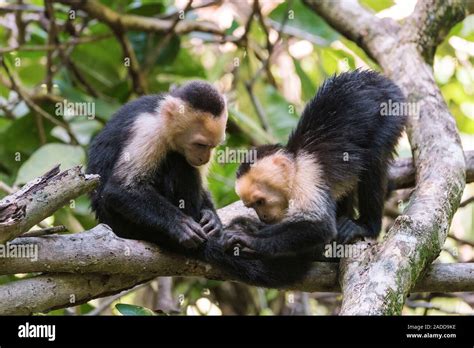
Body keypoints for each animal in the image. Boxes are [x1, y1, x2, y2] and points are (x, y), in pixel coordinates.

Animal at [88, 80, 312, 286]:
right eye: (200, 144)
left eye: (213, 146)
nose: (205, 158)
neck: (161, 117)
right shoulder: (148, 129)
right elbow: (120, 189)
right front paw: (179, 224)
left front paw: (211, 218)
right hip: (129, 226)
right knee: (178, 162)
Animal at [226, 70, 408, 260]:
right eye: (252, 206)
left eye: (260, 202)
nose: (263, 216)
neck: (296, 162)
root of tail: (379, 79)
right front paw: (254, 227)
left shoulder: (307, 175)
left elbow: (320, 226)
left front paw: (249, 238)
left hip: (391, 112)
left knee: (373, 158)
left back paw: (366, 226)